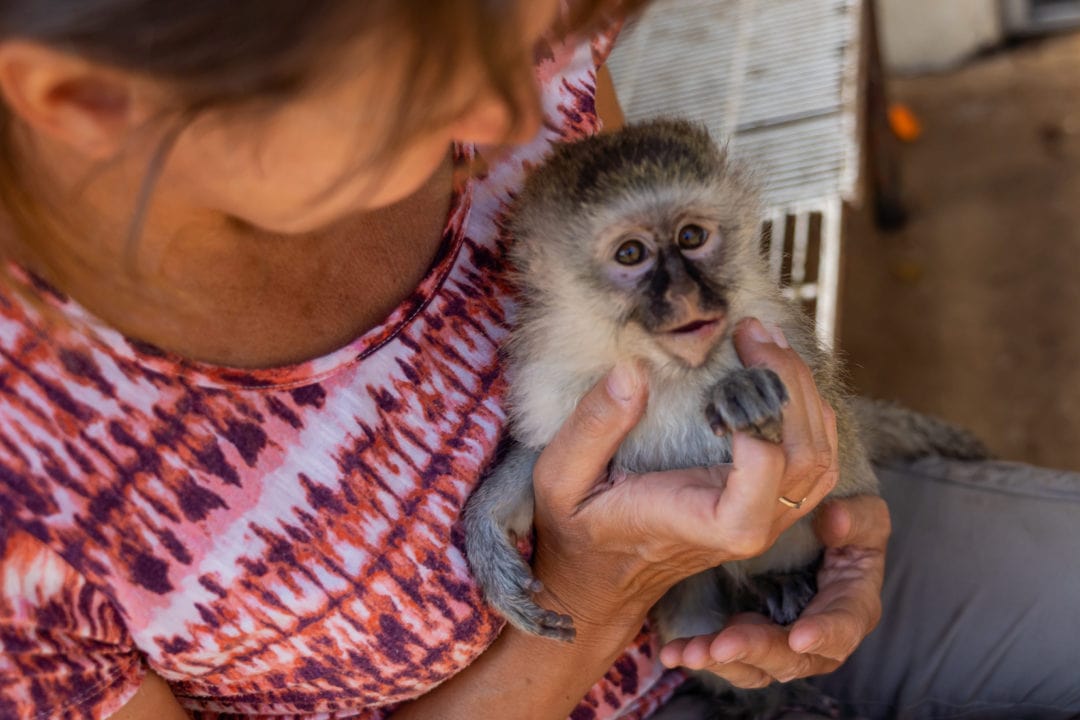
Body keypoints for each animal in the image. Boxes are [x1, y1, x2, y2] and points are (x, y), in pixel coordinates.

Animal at [462, 120, 876, 708]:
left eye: (691, 238)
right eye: (631, 253)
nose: (685, 293)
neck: (664, 370)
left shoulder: (779, 337)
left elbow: (829, 454)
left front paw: (740, 390)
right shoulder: (557, 379)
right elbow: (541, 456)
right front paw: (485, 530)